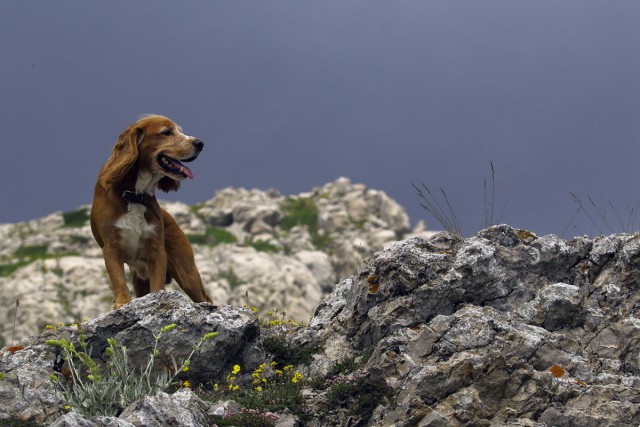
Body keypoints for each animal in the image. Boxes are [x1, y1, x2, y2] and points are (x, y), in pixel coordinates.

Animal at [90, 115, 212, 310]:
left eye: (180, 130)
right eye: (166, 132)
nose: (200, 143)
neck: (135, 195)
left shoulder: (157, 252)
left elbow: (157, 286)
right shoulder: (110, 247)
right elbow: (118, 279)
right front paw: (122, 302)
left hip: (186, 271)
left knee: (204, 297)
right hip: (139, 276)